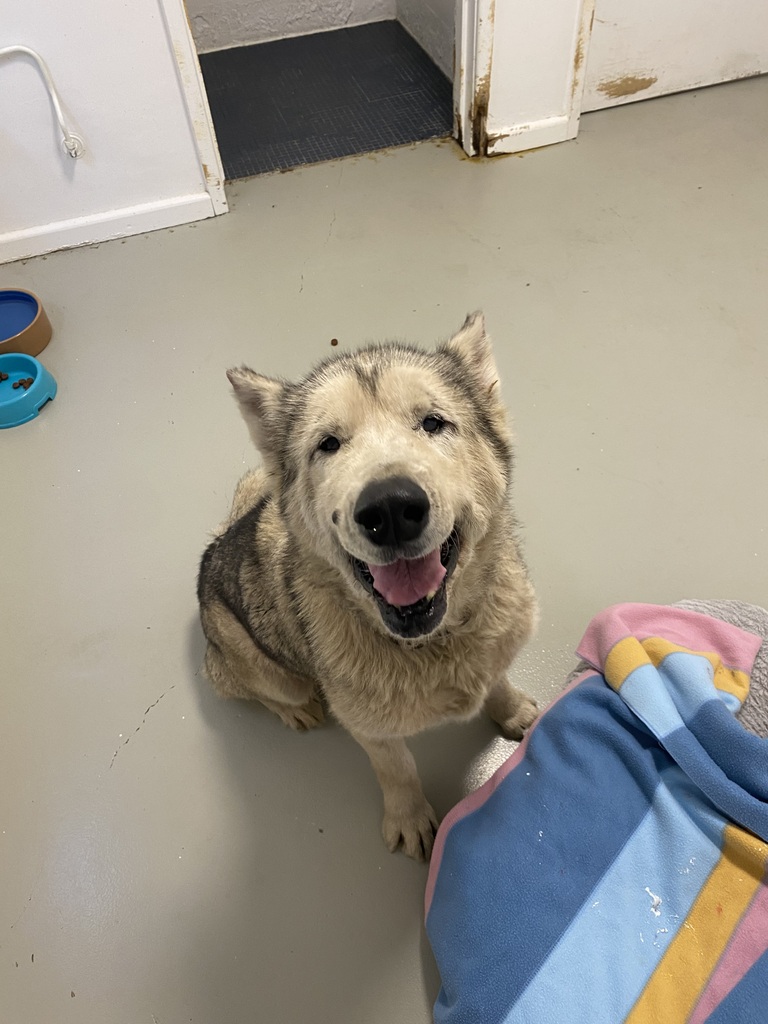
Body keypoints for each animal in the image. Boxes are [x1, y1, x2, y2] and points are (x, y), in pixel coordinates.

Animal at [197, 312, 538, 860]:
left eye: (433, 423)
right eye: (328, 444)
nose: (391, 509)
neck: (435, 643)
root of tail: (217, 543)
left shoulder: (495, 650)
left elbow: (498, 679)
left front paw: (511, 710)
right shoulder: (371, 730)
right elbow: (397, 769)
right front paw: (410, 818)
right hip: (261, 668)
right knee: (255, 687)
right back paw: (296, 710)